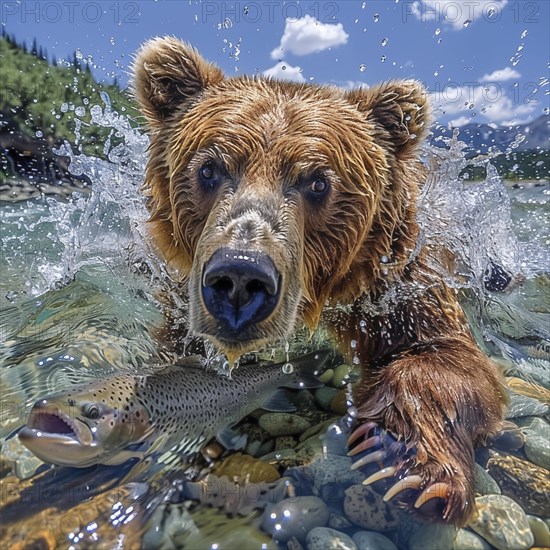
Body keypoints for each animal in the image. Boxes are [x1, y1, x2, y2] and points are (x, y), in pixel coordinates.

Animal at [133, 36, 508, 528]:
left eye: (317, 182)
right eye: (209, 169)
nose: (240, 275)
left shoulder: (398, 279)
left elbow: (444, 355)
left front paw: (404, 461)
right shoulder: (184, 296)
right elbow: (179, 355)